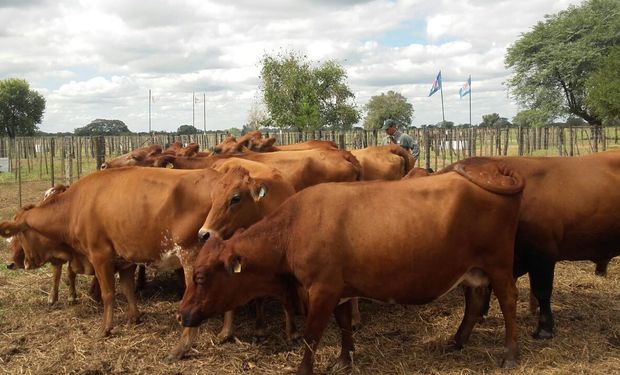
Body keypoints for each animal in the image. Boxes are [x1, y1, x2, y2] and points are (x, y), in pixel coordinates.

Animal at [177, 160, 524, 374]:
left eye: (201, 276)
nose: (182, 314)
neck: (293, 227)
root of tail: (497, 171)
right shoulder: (341, 289)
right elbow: (343, 325)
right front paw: (344, 360)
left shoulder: (322, 290)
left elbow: (312, 334)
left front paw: (304, 369)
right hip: (473, 270)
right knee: (475, 301)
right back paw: (457, 340)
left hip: (498, 265)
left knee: (508, 301)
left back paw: (509, 353)